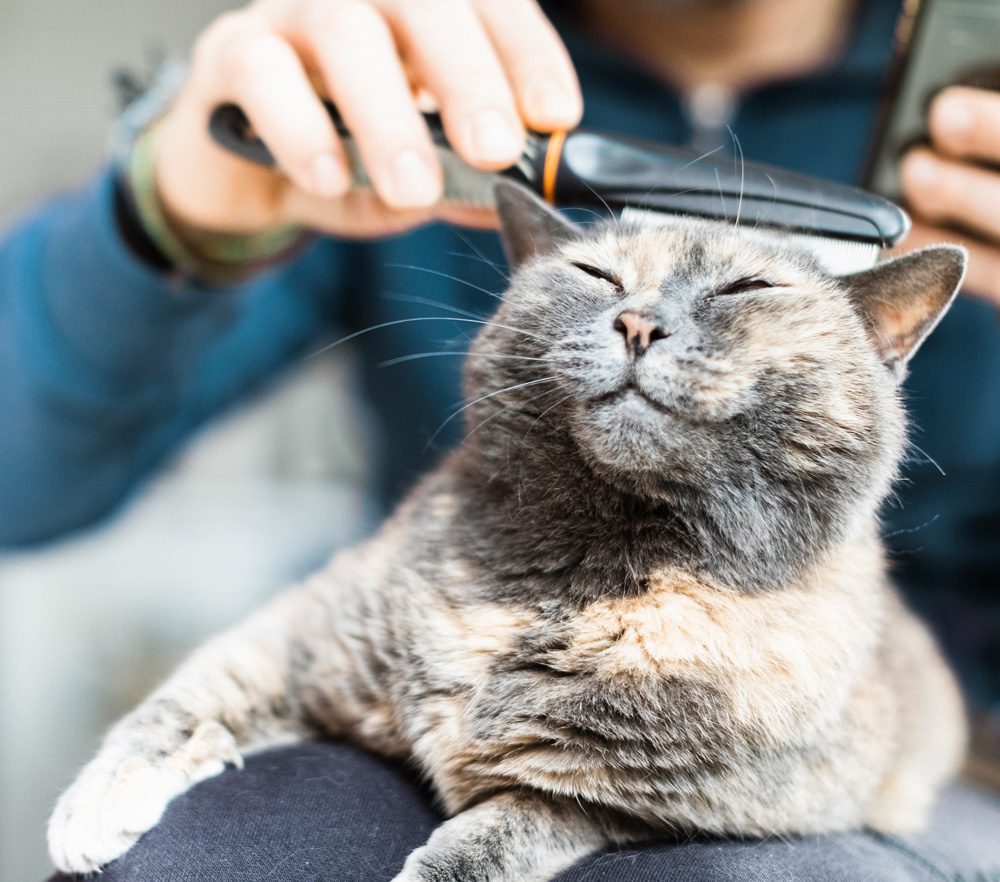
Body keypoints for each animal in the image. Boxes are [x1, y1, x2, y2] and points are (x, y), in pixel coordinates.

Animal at [48, 182, 968, 876]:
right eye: (597, 274)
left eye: (746, 289)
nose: (639, 322)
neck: (585, 569)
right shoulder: (304, 634)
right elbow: (181, 700)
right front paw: (92, 809)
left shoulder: (630, 803)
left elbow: (493, 839)